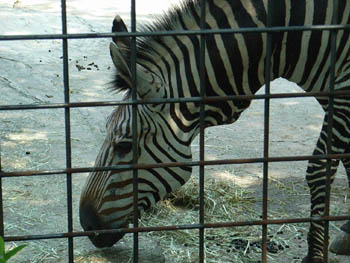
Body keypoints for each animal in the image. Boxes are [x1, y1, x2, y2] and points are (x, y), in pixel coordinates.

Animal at [79, 1, 350, 262]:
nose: (86, 224)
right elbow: (346, 157)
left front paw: (316, 255)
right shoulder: (329, 90)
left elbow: (319, 170)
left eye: (124, 145)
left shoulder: (341, 89)